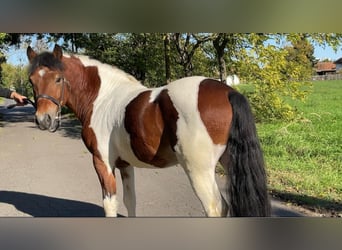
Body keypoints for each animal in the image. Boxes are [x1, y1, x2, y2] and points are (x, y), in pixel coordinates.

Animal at [26, 45, 270, 217]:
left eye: (58, 78)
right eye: (31, 80)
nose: (43, 119)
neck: (102, 98)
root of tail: (229, 92)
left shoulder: (102, 162)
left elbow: (110, 204)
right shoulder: (125, 164)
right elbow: (130, 201)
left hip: (198, 170)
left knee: (215, 208)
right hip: (228, 162)